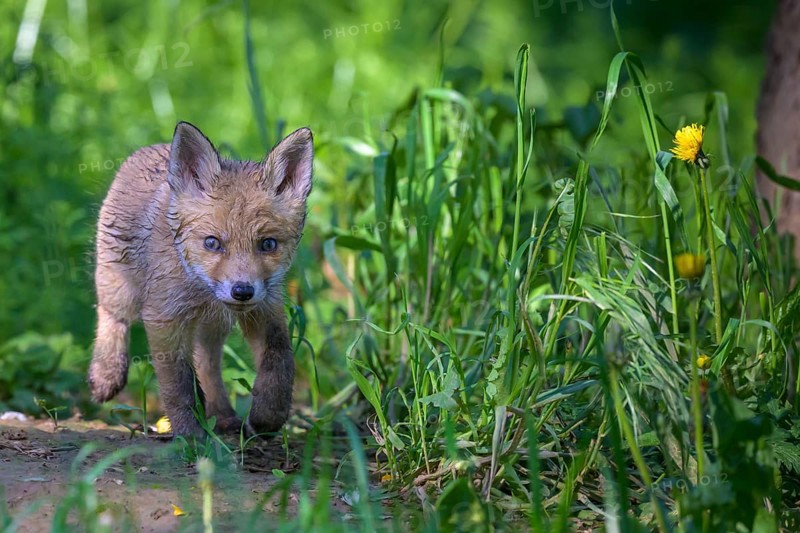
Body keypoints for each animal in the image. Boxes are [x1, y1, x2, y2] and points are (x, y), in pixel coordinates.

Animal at [88, 121, 313, 438]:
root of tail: (151, 147)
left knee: (208, 363)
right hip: (120, 287)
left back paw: (223, 415)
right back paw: (106, 375)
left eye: (268, 244)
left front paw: (267, 416)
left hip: (212, 328)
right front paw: (190, 434)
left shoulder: (266, 309)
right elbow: (178, 384)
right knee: (111, 315)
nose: (242, 291)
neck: (203, 293)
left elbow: (279, 362)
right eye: (212, 243)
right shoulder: (163, 317)